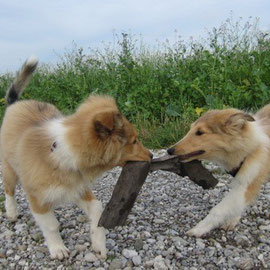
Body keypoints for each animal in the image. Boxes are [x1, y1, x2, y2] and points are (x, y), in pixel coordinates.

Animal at [0, 57, 152, 260]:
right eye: (134, 141)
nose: (152, 155)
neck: (63, 153)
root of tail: (14, 104)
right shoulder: (37, 198)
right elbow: (51, 225)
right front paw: (58, 248)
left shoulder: (77, 188)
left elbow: (97, 209)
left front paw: (99, 244)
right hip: (9, 169)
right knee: (8, 191)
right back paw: (11, 212)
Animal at [168, 107, 270, 236]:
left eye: (200, 132)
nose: (169, 150)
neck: (249, 146)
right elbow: (237, 205)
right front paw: (232, 221)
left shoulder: (247, 183)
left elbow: (219, 209)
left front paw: (198, 229)